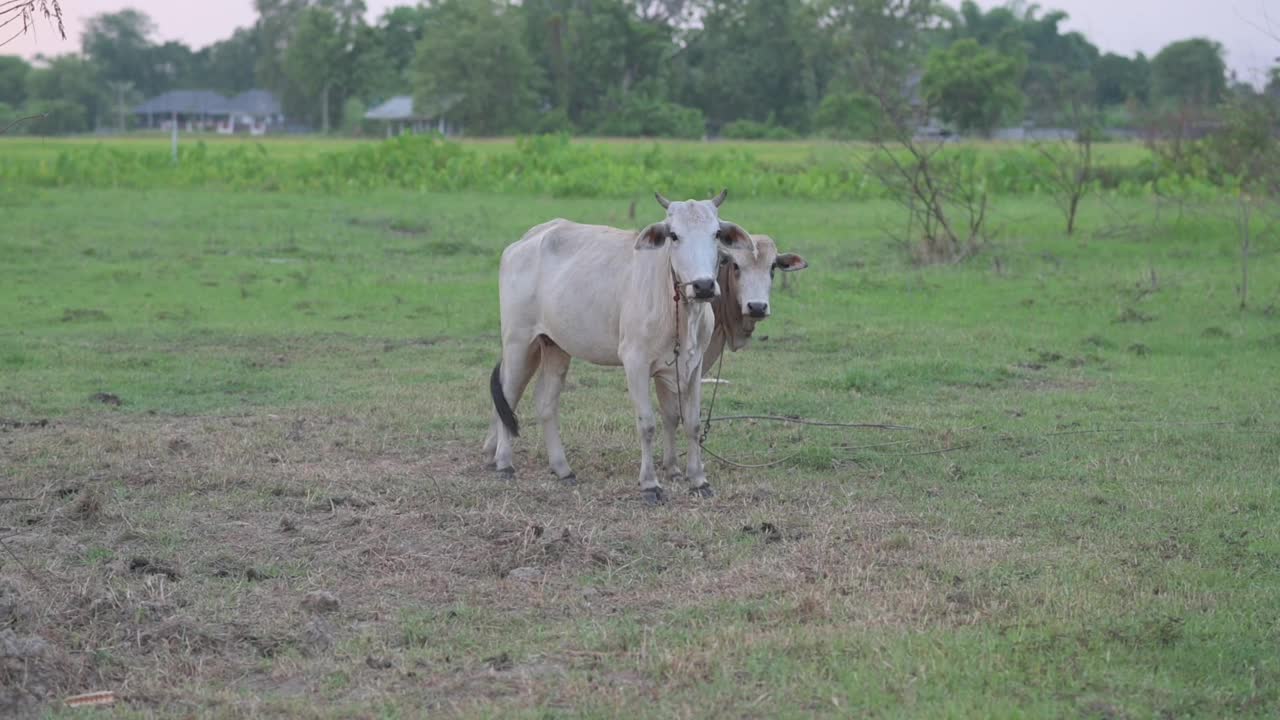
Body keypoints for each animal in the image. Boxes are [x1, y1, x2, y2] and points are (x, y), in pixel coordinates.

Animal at [483, 192, 752, 504]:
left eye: (716, 234)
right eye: (674, 235)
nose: (704, 286)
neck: (680, 311)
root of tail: (524, 241)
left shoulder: (693, 366)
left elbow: (693, 423)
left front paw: (699, 480)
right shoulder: (635, 361)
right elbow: (647, 423)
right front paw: (650, 484)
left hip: (554, 346)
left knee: (545, 402)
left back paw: (562, 469)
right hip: (518, 341)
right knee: (508, 396)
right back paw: (504, 463)